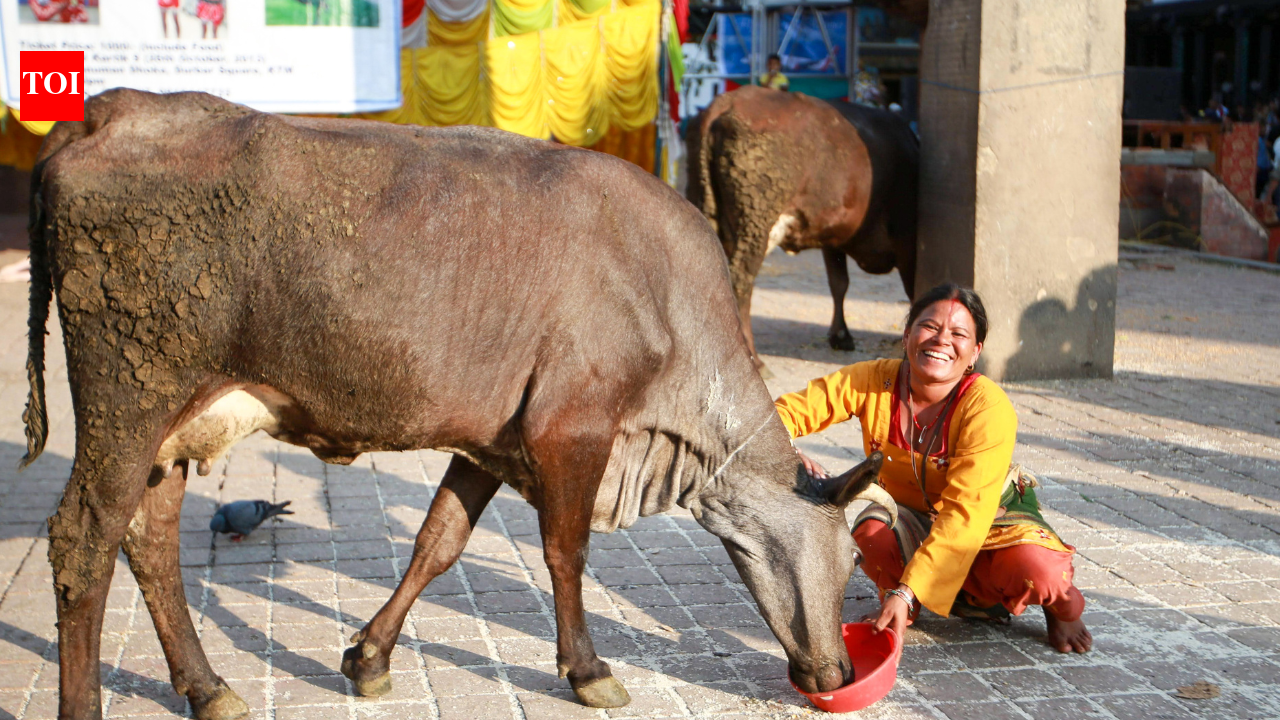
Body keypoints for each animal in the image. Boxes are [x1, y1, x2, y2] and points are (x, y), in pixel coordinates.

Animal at [23, 89, 896, 720]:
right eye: (855, 558)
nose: (837, 668)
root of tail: (112, 108)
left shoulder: (494, 441)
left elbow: (437, 543)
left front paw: (369, 657)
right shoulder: (570, 430)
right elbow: (566, 553)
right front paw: (587, 669)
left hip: (170, 423)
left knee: (149, 539)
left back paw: (209, 687)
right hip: (128, 394)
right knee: (84, 541)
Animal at [686, 86, 919, 373]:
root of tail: (725, 103)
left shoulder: (833, 237)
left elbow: (839, 283)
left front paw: (840, 335)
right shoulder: (908, 242)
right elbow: (911, 292)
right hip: (755, 225)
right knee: (741, 281)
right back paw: (754, 359)